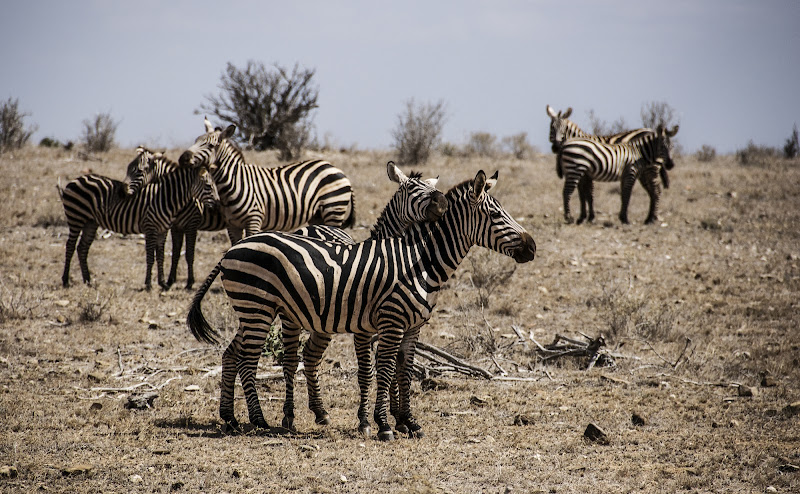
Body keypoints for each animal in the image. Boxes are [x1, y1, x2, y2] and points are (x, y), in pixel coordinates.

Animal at [58, 147, 219, 290]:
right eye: (209, 186)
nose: (219, 204)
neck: (165, 197)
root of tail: (75, 180)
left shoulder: (163, 230)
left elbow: (161, 256)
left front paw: (163, 283)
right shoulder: (151, 228)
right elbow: (151, 257)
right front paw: (148, 284)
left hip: (90, 222)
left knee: (82, 247)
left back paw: (88, 281)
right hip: (76, 218)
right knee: (70, 246)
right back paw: (66, 281)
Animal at [183, 119, 358, 243]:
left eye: (211, 146)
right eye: (195, 140)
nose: (183, 157)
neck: (233, 182)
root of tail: (336, 168)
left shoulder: (254, 219)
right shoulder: (232, 225)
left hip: (333, 208)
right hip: (318, 215)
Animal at [188, 170, 536, 440]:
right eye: (496, 216)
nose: (532, 247)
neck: (420, 262)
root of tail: (233, 248)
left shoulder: (412, 328)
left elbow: (405, 371)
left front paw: (409, 421)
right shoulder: (390, 322)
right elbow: (382, 371)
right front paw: (382, 424)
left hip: (253, 311)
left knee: (232, 354)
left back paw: (230, 418)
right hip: (259, 308)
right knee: (248, 361)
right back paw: (260, 421)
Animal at [544, 107, 676, 225]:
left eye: (564, 128)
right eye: (551, 128)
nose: (555, 147)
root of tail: (651, 130)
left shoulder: (587, 173)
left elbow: (588, 194)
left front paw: (589, 217)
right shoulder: (586, 173)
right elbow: (585, 194)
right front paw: (586, 217)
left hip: (650, 170)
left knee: (656, 191)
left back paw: (652, 218)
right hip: (644, 173)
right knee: (653, 192)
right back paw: (650, 218)